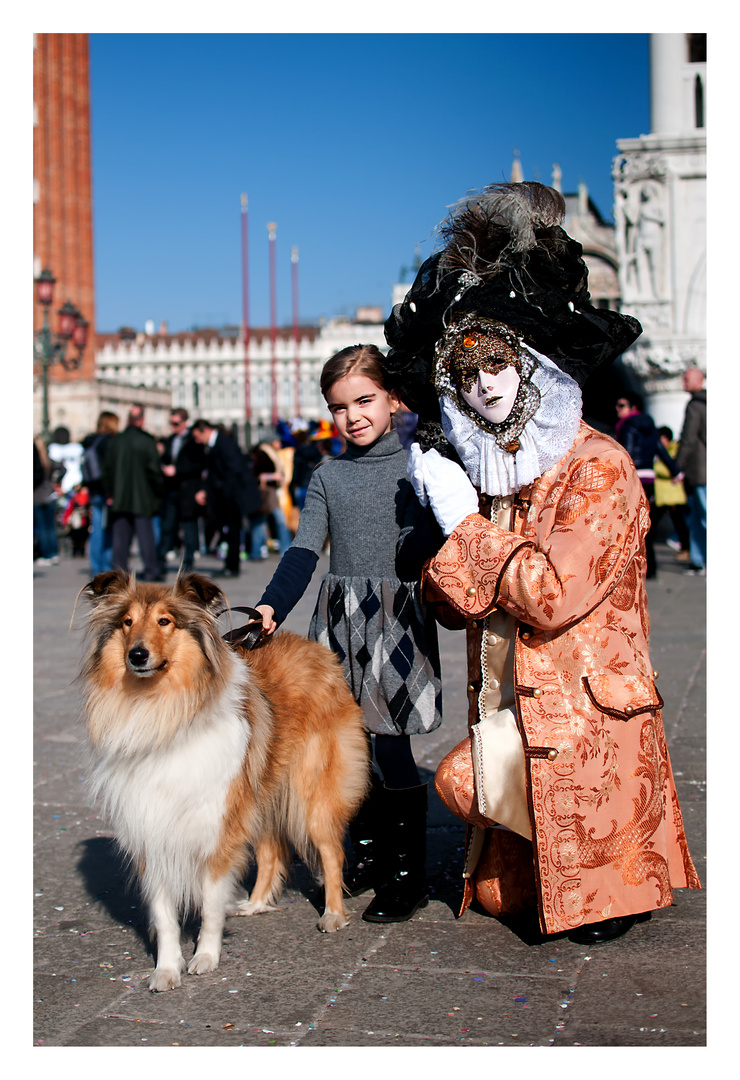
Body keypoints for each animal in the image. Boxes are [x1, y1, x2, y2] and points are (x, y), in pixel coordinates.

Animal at [76, 570, 369, 989]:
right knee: (271, 850)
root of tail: (318, 651)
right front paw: (166, 970)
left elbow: (211, 902)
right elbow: (164, 915)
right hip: (258, 792)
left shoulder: (216, 828)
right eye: (127, 622)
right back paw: (257, 903)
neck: (162, 710)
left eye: (165, 621)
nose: (137, 656)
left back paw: (332, 915)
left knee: (331, 853)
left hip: (310, 795)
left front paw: (205, 957)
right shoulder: (151, 829)